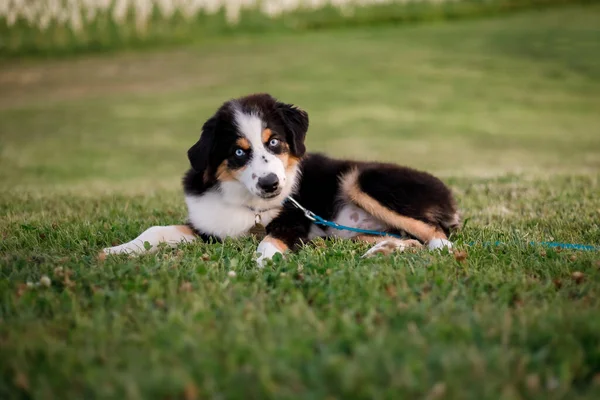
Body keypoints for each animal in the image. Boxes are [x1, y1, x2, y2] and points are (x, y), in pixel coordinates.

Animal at [103, 92, 460, 264]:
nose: (271, 185)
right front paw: (117, 251)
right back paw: (381, 252)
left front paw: (261, 265)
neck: (247, 204)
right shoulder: (210, 228)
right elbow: (157, 229)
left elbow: (268, 242)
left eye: (274, 142)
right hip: (349, 231)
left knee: (436, 234)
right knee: (408, 239)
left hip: (361, 179)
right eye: (238, 152)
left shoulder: (293, 221)